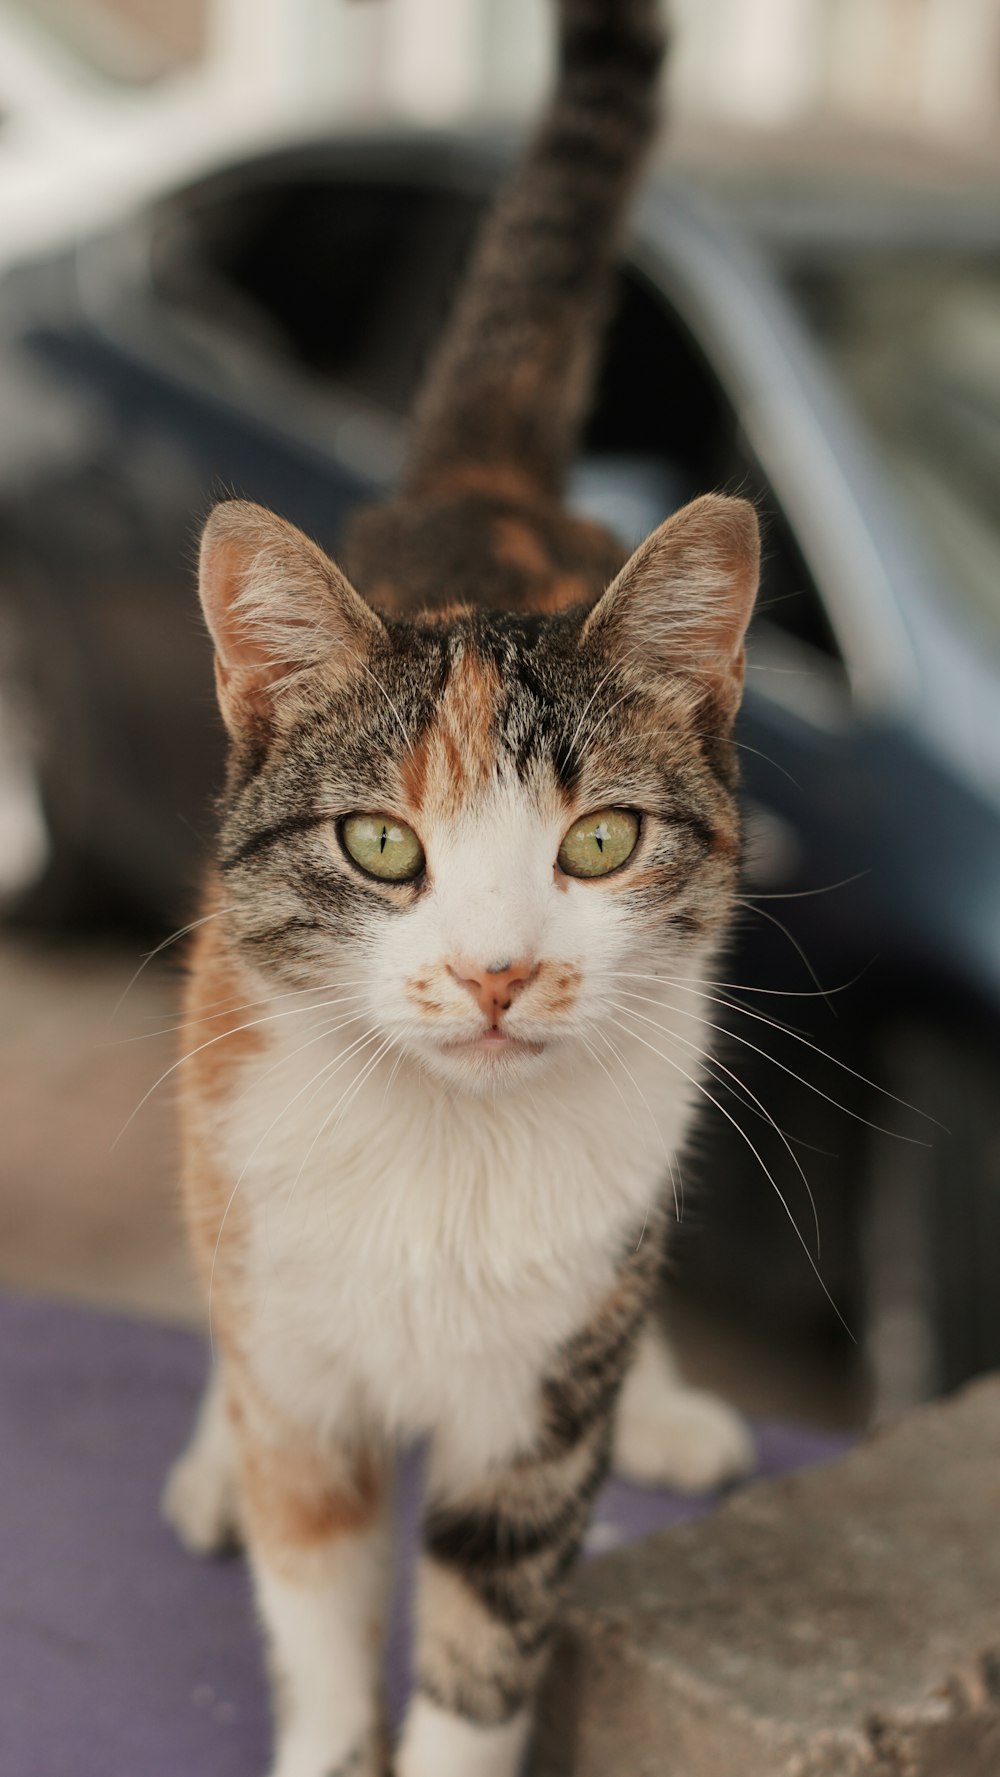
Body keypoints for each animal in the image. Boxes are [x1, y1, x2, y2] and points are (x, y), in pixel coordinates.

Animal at [166, 3, 760, 1777]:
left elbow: (482, 1650)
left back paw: (672, 1401)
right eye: (383, 846)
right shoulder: (302, 1360)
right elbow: (317, 1588)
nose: (498, 973)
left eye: (601, 843)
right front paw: (320, 1724)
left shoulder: (532, 1430)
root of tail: (482, 489)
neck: (446, 1154)